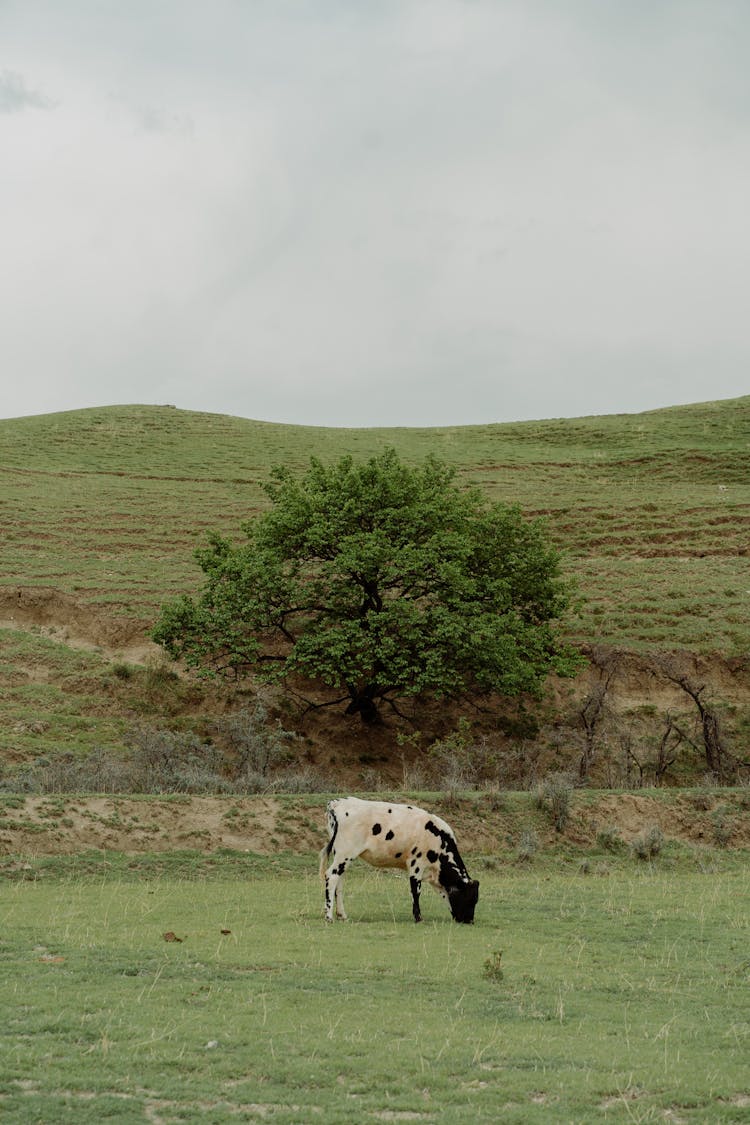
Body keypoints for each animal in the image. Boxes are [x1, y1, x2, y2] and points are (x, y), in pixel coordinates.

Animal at [319, 796, 479, 918]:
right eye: (470, 898)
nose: (469, 921)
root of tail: (337, 802)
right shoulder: (416, 864)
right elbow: (416, 891)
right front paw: (418, 917)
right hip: (345, 854)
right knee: (331, 876)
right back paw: (329, 916)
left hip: (342, 856)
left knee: (339, 881)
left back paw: (342, 915)